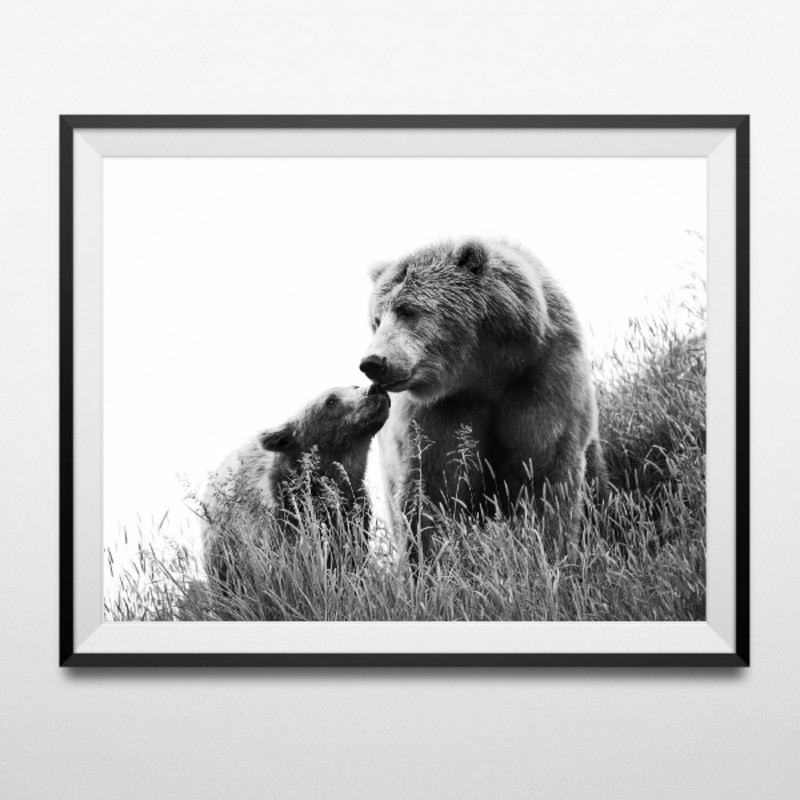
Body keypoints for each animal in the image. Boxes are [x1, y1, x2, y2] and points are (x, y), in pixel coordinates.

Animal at [201, 384, 390, 595]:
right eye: (330, 401)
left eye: (354, 386)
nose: (373, 388)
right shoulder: (281, 518)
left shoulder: (353, 513)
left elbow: (350, 559)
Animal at [359, 238, 606, 562]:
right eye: (376, 320)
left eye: (407, 310)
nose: (373, 362)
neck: (483, 371)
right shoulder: (440, 412)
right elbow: (432, 491)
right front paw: (431, 561)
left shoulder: (541, 379)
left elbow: (546, 475)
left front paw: (549, 550)